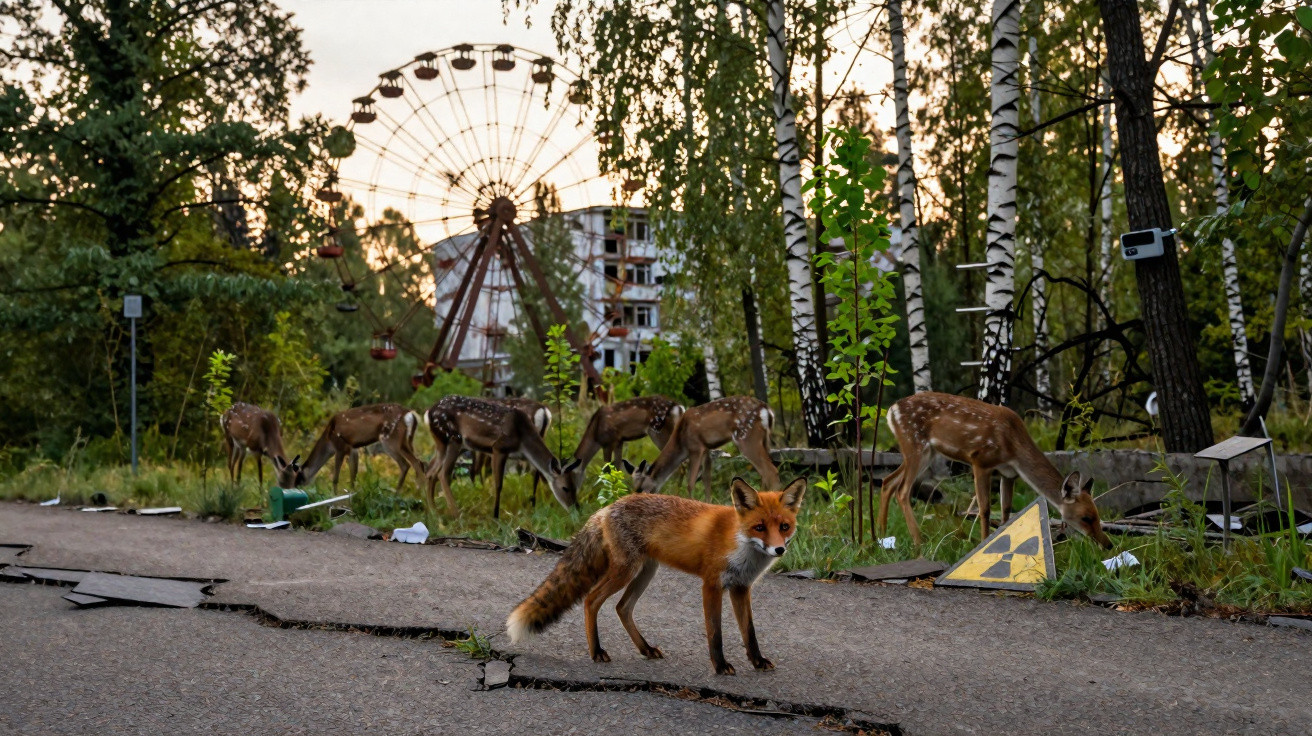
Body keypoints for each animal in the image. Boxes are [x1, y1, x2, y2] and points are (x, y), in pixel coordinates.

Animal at [506, 476, 807, 676]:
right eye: (759, 527)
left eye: (784, 526)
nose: (779, 549)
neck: (740, 544)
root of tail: (607, 508)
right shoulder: (711, 584)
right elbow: (715, 633)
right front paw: (720, 665)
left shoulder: (741, 587)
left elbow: (750, 632)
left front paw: (757, 661)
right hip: (625, 571)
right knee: (592, 600)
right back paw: (596, 652)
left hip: (646, 572)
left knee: (622, 608)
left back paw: (645, 648)